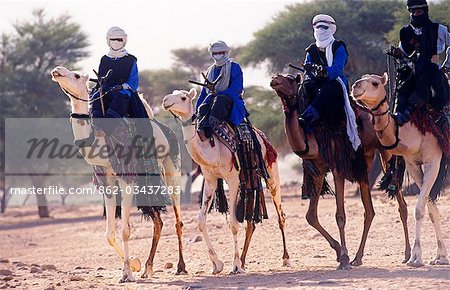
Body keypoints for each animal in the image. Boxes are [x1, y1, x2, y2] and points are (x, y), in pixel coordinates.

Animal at [51, 67, 186, 282]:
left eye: (77, 75)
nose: (57, 71)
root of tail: (166, 129)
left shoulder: (126, 177)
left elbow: (125, 231)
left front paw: (128, 274)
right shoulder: (105, 179)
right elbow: (109, 234)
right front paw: (134, 265)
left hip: (171, 166)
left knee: (177, 218)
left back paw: (181, 267)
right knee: (158, 221)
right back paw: (147, 268)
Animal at [162, 88, 288, 274]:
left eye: (183, 97)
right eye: (172, 93)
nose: (165, 100)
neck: (212, 150)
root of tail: (262, 135)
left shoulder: (233, 178)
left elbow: (233, 224)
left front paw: (234, 265)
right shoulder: (210, 179)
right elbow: (201, 221)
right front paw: (217, 264)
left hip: (271, 172)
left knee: (280, 214)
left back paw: (285, 258)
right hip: (251, 180)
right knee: (251, 222)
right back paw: (243, 260)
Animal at [270, 73, 412, 270]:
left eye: (290, 80)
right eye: (278, 77)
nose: (274, 80)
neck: (312, 136)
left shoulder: (338, 167)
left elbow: (340, 216)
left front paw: (343, 257)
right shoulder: (318, 170)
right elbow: (310, 216)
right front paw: (339, 252)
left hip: (386, 152)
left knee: (401, 203)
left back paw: (407, 254)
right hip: (365, 159)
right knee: (369, 210)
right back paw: (358, 258)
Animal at [354, 72, 448, 268]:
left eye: (375, 83)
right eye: (362, 77)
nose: (355, 87)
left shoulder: (433, 160)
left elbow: (419, 210)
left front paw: (415, 258)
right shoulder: (413, 164)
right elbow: (431, 209)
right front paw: (440, 256)